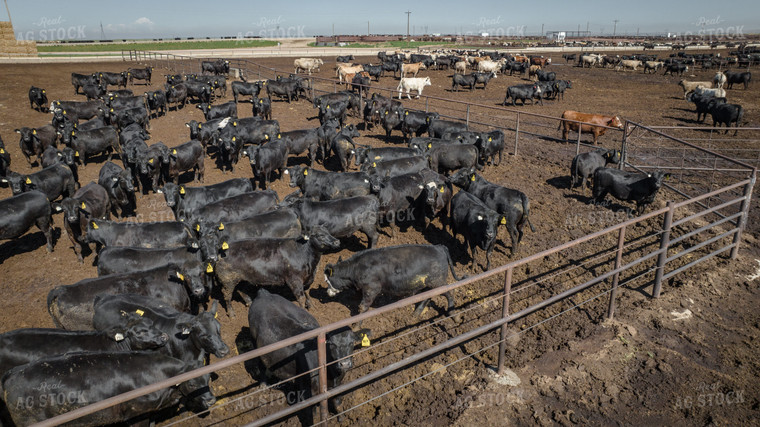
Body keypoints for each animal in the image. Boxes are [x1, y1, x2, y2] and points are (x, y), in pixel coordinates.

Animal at [203, 226, 336, 316]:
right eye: (320, 235)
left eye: (329, 232)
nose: (336, 241)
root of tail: (219, 253)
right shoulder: (294, 280)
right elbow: (301, 297)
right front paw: (304, 311)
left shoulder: (307, 278)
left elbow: (307, 293)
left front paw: (313, 307)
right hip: (228, 280)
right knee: (227, 296)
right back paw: (231, 314)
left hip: (243, 278)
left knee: (241, 290)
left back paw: (250, 303)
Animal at [249, 290, 368, 426]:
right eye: (331, 344)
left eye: (352, 342)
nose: (345, 364)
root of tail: (264, 293)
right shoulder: (310, 392)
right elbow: (314, 414)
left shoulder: (337, 384)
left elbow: (337, 402)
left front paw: (341, 419)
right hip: (255, 345)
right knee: (261, 364)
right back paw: (263, 384)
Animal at [322, 244, 460, 314]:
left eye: (327, 281)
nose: (327, 292)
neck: (357, 267)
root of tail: (439, 247)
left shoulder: (372, 288)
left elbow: (363, 307)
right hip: (429, 284)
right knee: (427, 296)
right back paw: (416, 314)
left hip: (438, 282)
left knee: (450, 292)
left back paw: (452, 314)